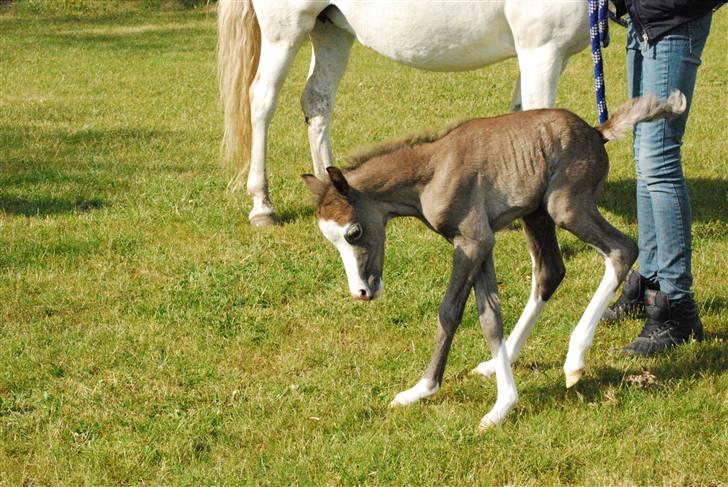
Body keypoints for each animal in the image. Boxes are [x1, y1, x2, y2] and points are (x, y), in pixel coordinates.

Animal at [302, 92, 688, 430]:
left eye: (353, 233)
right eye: (331, 239)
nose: (361, 291)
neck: (432, 170)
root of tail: (596, 132)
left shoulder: (474, 241)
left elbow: (450, 311)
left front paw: (471, 399)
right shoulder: (479, 245)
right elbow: (489, 316)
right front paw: (459, 396)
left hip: (565, 207)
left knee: (622, 250)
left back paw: (574, 359)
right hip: (535, 214)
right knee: (550, 273)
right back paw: (500, 362)